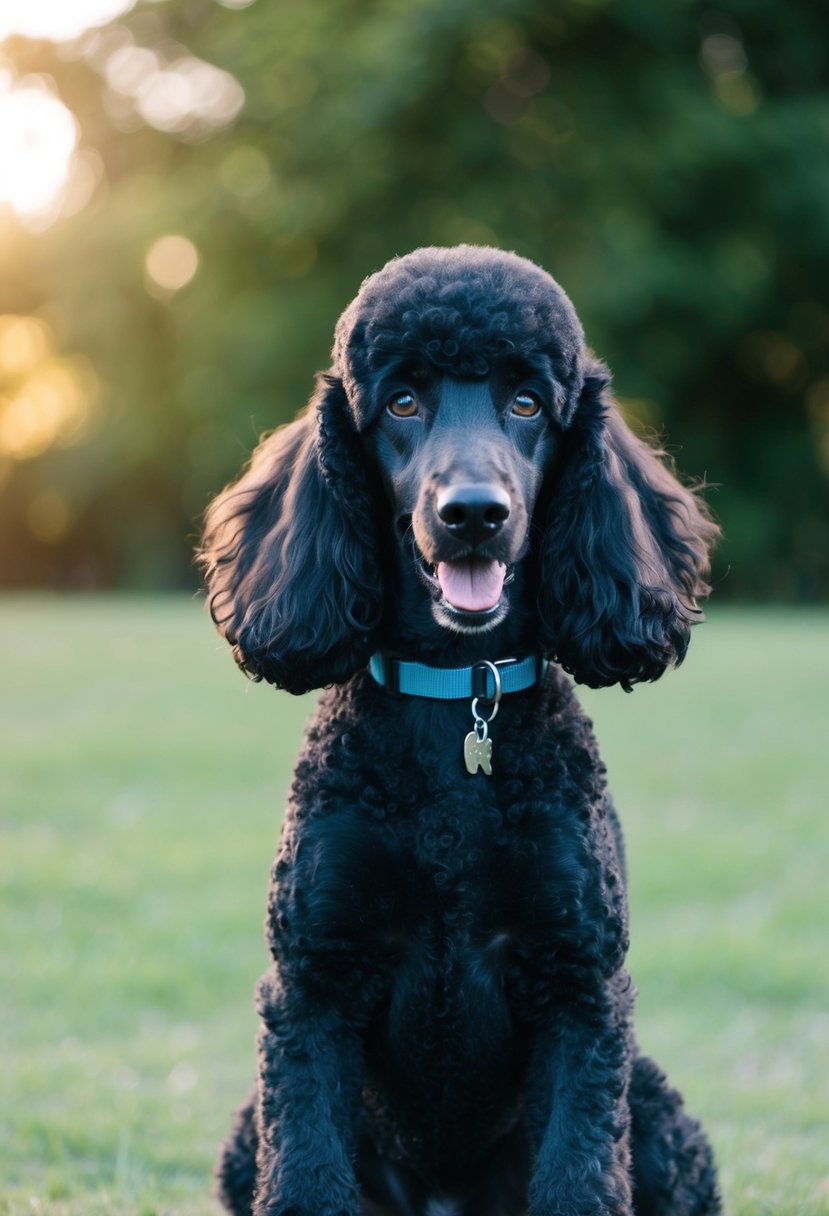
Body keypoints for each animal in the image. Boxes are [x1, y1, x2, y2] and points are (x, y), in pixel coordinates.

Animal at [198, 246, 714, 1216]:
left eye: (527, 402)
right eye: (402, 401)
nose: (472, 513)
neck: (456, 708)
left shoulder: (578, 992)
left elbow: (578, 1179)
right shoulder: (314, 986)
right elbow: (307, 1176)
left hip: (656, 1116)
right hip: (250, 1131)